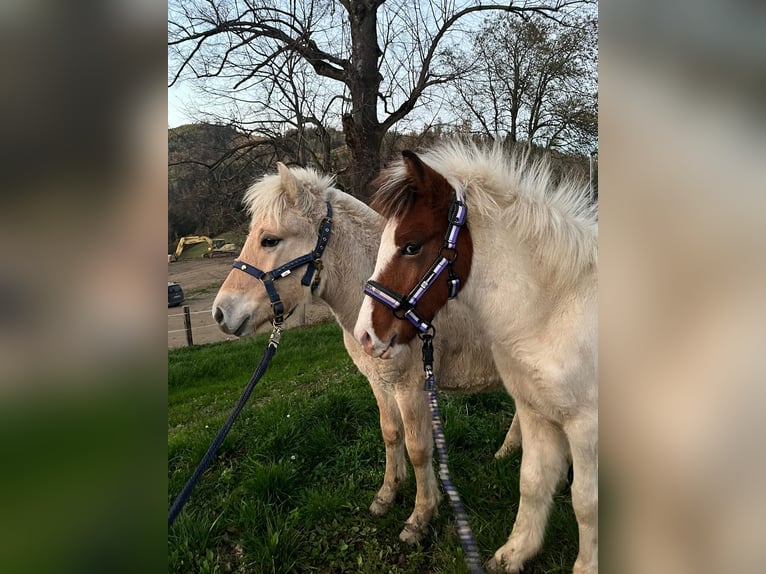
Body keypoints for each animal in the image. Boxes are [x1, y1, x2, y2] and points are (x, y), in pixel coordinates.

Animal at [213, 165, 520, 544]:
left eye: (269, 239)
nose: (221, 312)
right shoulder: (380, 383)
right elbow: (391, 434)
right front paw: (387, 495)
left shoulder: (411, 388)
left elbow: (419, 449)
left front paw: (420, 517)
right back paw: (506, 451)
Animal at [356, 142, 604, 572]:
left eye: (411, 245)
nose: (365, 336)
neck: (554, 312)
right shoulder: (536, 413)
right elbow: (532, 483)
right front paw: (515, 553)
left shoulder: (585, 426)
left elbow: (586, 504)